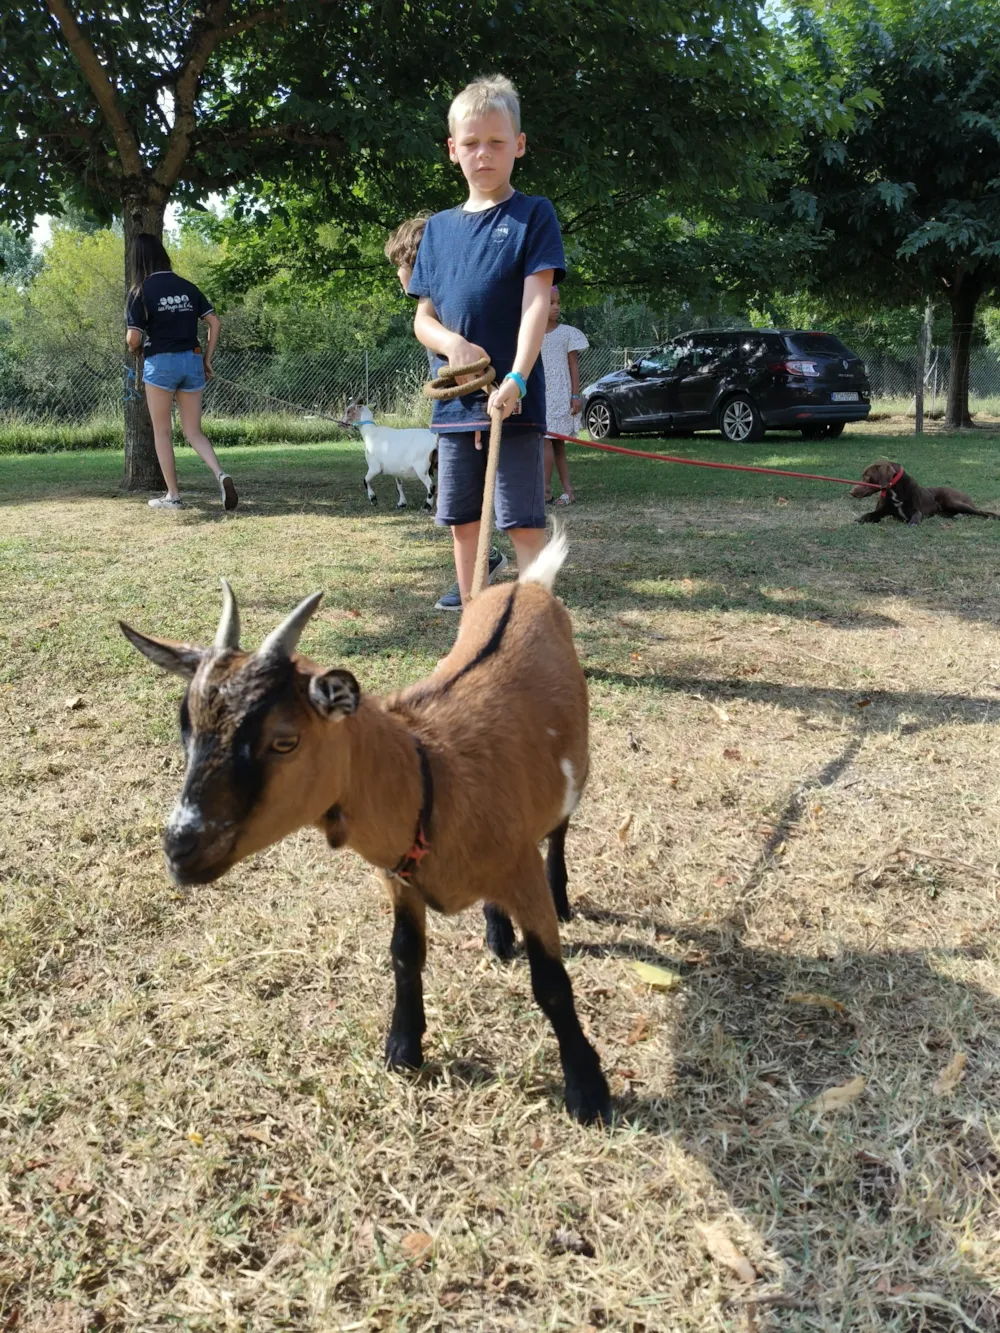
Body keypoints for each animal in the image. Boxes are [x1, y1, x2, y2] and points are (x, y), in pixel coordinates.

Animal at [121, 535, 616, 1130]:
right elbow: (404, 952)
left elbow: (552, 983)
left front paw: (588, 1091)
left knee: (560, 829)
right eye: (186, 727)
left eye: (284, 741)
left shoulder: (521, 874)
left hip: (577, 765)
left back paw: (558, 899)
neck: (430, 775)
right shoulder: (397, 877)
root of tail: (528, 587)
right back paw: (497, 934)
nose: (180, 847)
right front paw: (403, 1048)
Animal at [853, 458, 1000, 519]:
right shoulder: (882, 511)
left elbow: (915, 517)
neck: (893, 490)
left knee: (981, 512)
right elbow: (869, 515)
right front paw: (860, 519)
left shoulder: (916, 511)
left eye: (867, 477)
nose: (851, 491)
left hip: (952, 501)